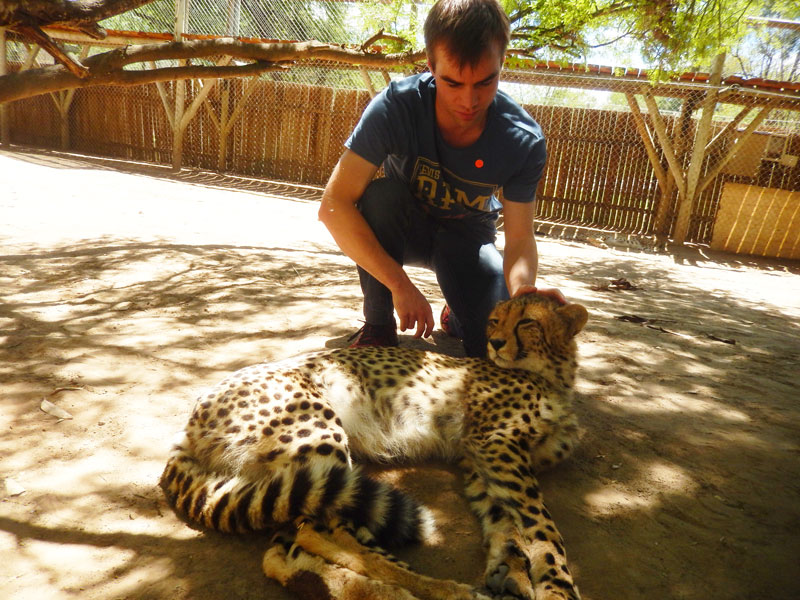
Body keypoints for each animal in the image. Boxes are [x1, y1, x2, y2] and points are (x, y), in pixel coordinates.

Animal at [162, 296, 588, 600]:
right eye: (495, 321)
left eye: (527, 321)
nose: (495, 342)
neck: (550, 375)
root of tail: (191, 424)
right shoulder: (497, 443)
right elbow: (540, 523)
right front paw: (557, 587)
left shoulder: (478, 455)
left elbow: (505, 518)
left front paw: (511, 569)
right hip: (318, 433)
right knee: (318, 532)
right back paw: (444, 591)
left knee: (287, 548)